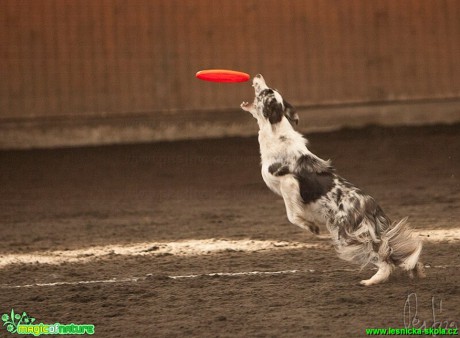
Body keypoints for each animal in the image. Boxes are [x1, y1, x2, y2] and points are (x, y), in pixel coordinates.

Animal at [241, 74, 424, 286]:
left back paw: (371, 281)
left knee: (383, 256)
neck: (275, 135)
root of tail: (370, 205)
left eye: (265, 91)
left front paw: (311, 226)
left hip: (346, 234)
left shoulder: (289, 183)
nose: (258, 76)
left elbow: (292, 214)